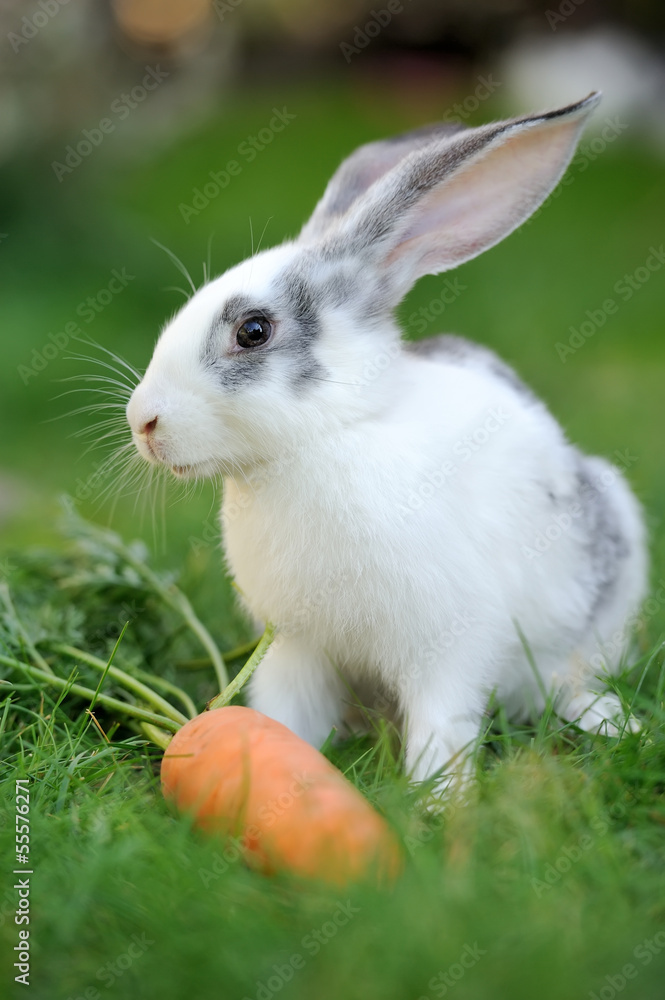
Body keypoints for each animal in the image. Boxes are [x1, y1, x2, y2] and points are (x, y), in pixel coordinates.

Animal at [126, 91, 648, 789]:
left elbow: (441, 724)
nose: (143, 423)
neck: (330, 436)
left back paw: (612, 721)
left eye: (253, 330)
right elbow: (286, 712)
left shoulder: (449, 645)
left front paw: (437, 801)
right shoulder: (297, 648)